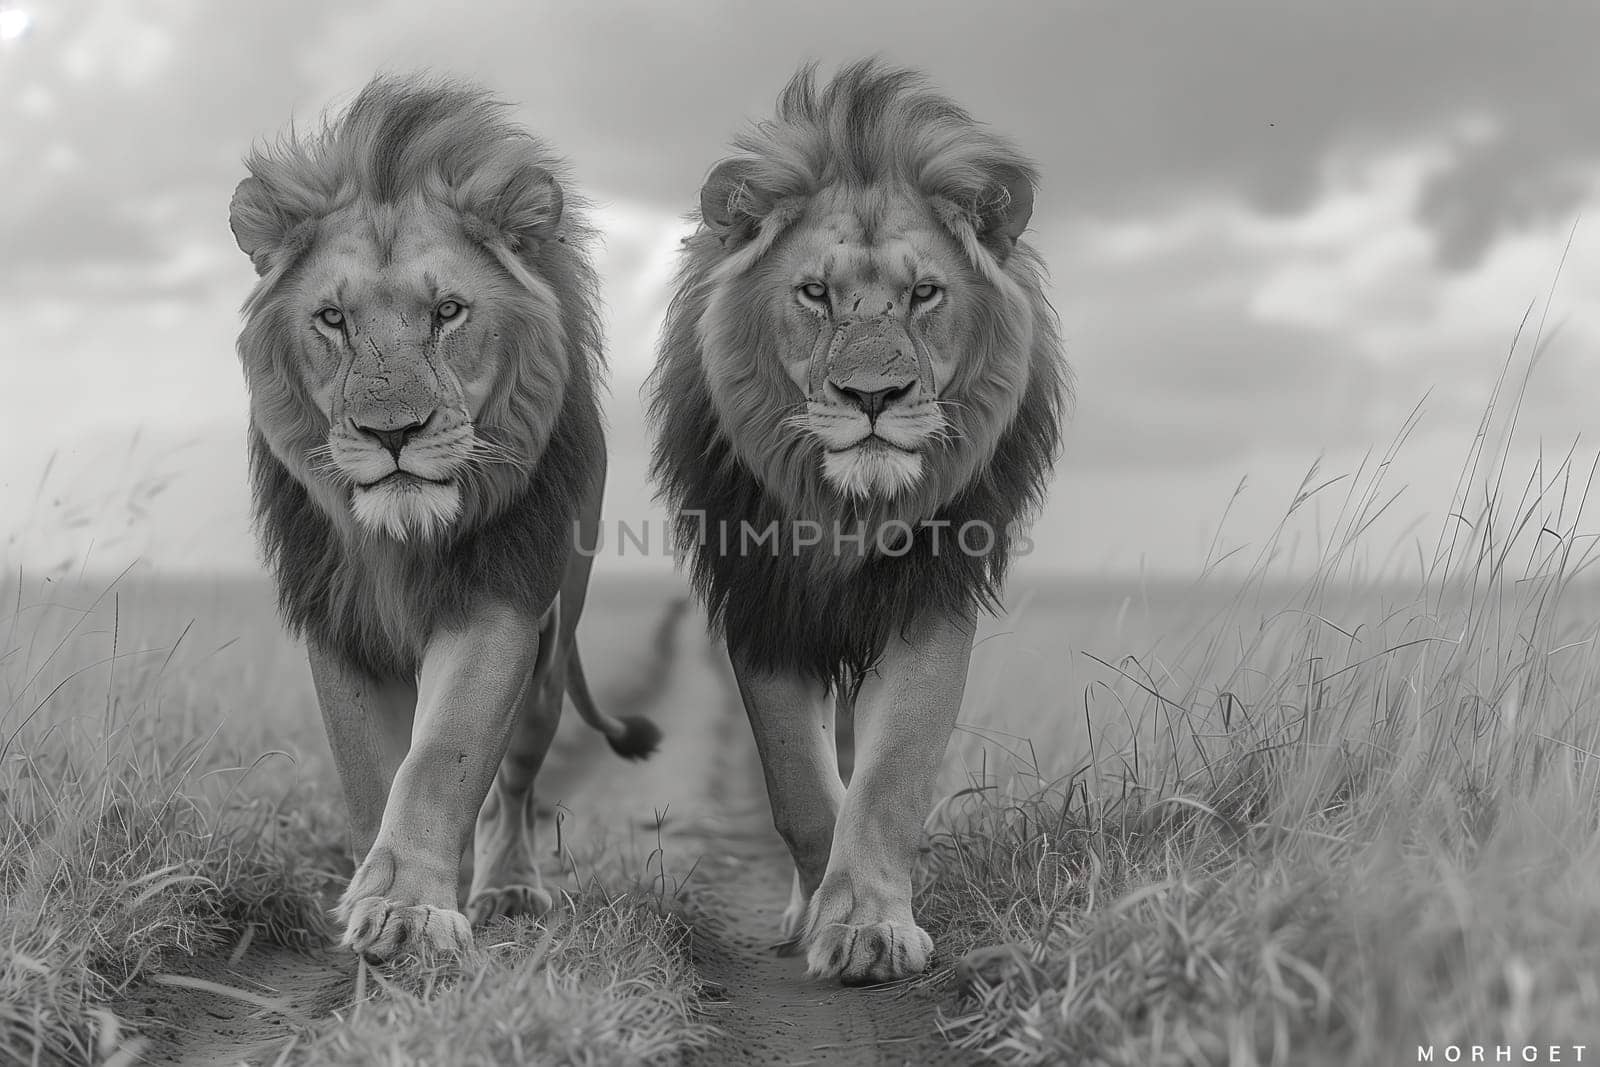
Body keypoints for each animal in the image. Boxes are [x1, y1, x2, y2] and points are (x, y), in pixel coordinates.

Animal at [228, 73, 659, 959]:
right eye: (333, 319)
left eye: (449, 312)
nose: (393, 432)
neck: (403, 543)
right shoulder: (340, 619)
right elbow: (373, 769)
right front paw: (377, 895)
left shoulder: (499, 599)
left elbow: (443, 752)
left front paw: (411, 910)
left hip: (553, 649)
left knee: (517, 777)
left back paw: (508, 886)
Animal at [649, 62, 1075, 985]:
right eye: (815, 294)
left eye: (924, 294)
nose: (872, 397)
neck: (848, 510)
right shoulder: (762, 603)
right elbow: (800, 785)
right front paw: (821, 911)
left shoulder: (930, 597)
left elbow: (888, 779)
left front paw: (871, 927)